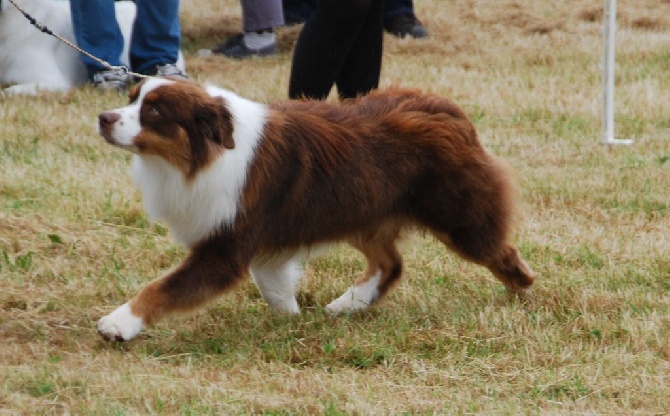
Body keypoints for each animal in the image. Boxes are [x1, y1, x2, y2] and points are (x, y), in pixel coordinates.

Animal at [94, 78, 540, 342]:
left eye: (154, 111)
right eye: (131, 99)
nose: (103, 118)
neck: (207, 154)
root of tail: (450, 110)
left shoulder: (225, 246)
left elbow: (163, 287)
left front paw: (119, 323)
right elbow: (270, 279)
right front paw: (290, 315)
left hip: (458, 216)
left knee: (501, 252)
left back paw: (524, 293)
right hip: (363, 211)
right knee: (391, 264)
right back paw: (349, 304)